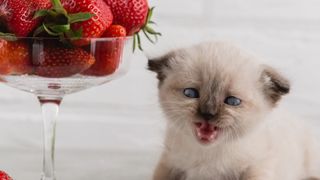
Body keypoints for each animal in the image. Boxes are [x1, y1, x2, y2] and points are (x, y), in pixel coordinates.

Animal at [148, 41, 320, 180]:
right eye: (190, 93)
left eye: (232, 102)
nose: (208, 114)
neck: (208, 153)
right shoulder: (169, 164)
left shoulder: (258, 166)